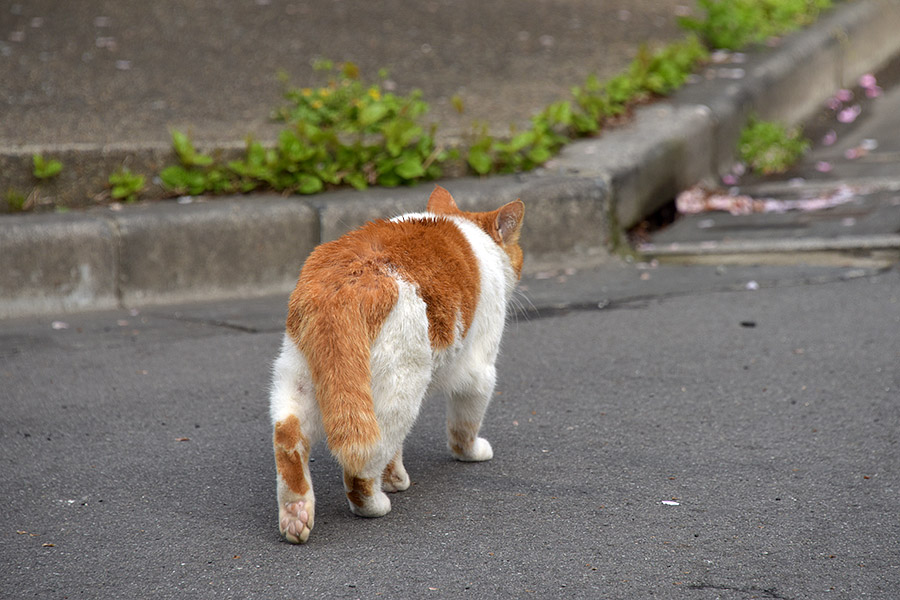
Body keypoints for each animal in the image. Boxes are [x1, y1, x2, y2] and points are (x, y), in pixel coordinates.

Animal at [268, 186, 524, 544]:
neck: (466, 228)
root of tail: (345, 278)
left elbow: (395, 453)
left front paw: (393, 478)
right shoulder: (479, 371)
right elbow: (464, 426)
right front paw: (470, 453)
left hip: (300, 377)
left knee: (288, 436)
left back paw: (296, 515)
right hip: (400, 388)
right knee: (359, 470)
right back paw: (373, 504)